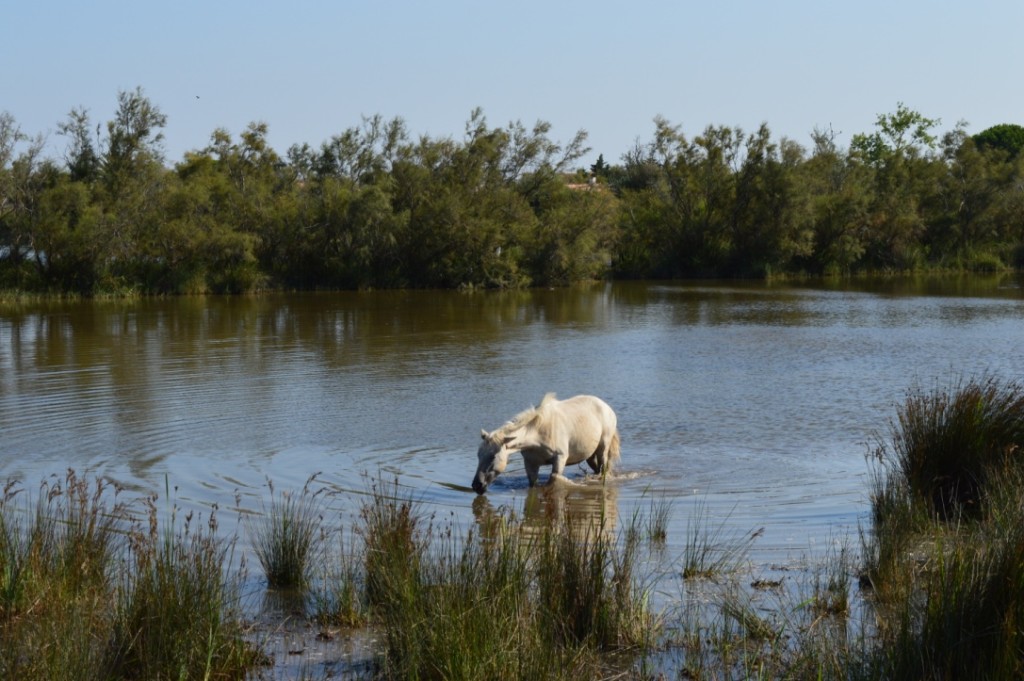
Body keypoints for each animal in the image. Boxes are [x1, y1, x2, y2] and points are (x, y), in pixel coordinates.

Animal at [468, 393, 618, 493]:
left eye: (493, 456)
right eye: (478, 455)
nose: (477, 485)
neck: (538, 434)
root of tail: (606, 407)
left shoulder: (559, 459)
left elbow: (553, 480)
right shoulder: (530, 464)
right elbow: (533, 483)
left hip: (603, 448)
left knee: (604, 468)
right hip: (590, 454)